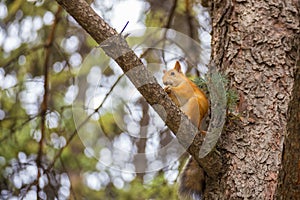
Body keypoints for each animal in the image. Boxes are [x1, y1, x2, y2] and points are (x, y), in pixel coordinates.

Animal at [162, 61, 209, 200]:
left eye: (172, 73)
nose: (164, 82)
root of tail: (199, 127)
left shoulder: (187, 88)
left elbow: (182, 92)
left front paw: (170, 89)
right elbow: (175, 100)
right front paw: (166, 91)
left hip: (194, 105)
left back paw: (186, 116)